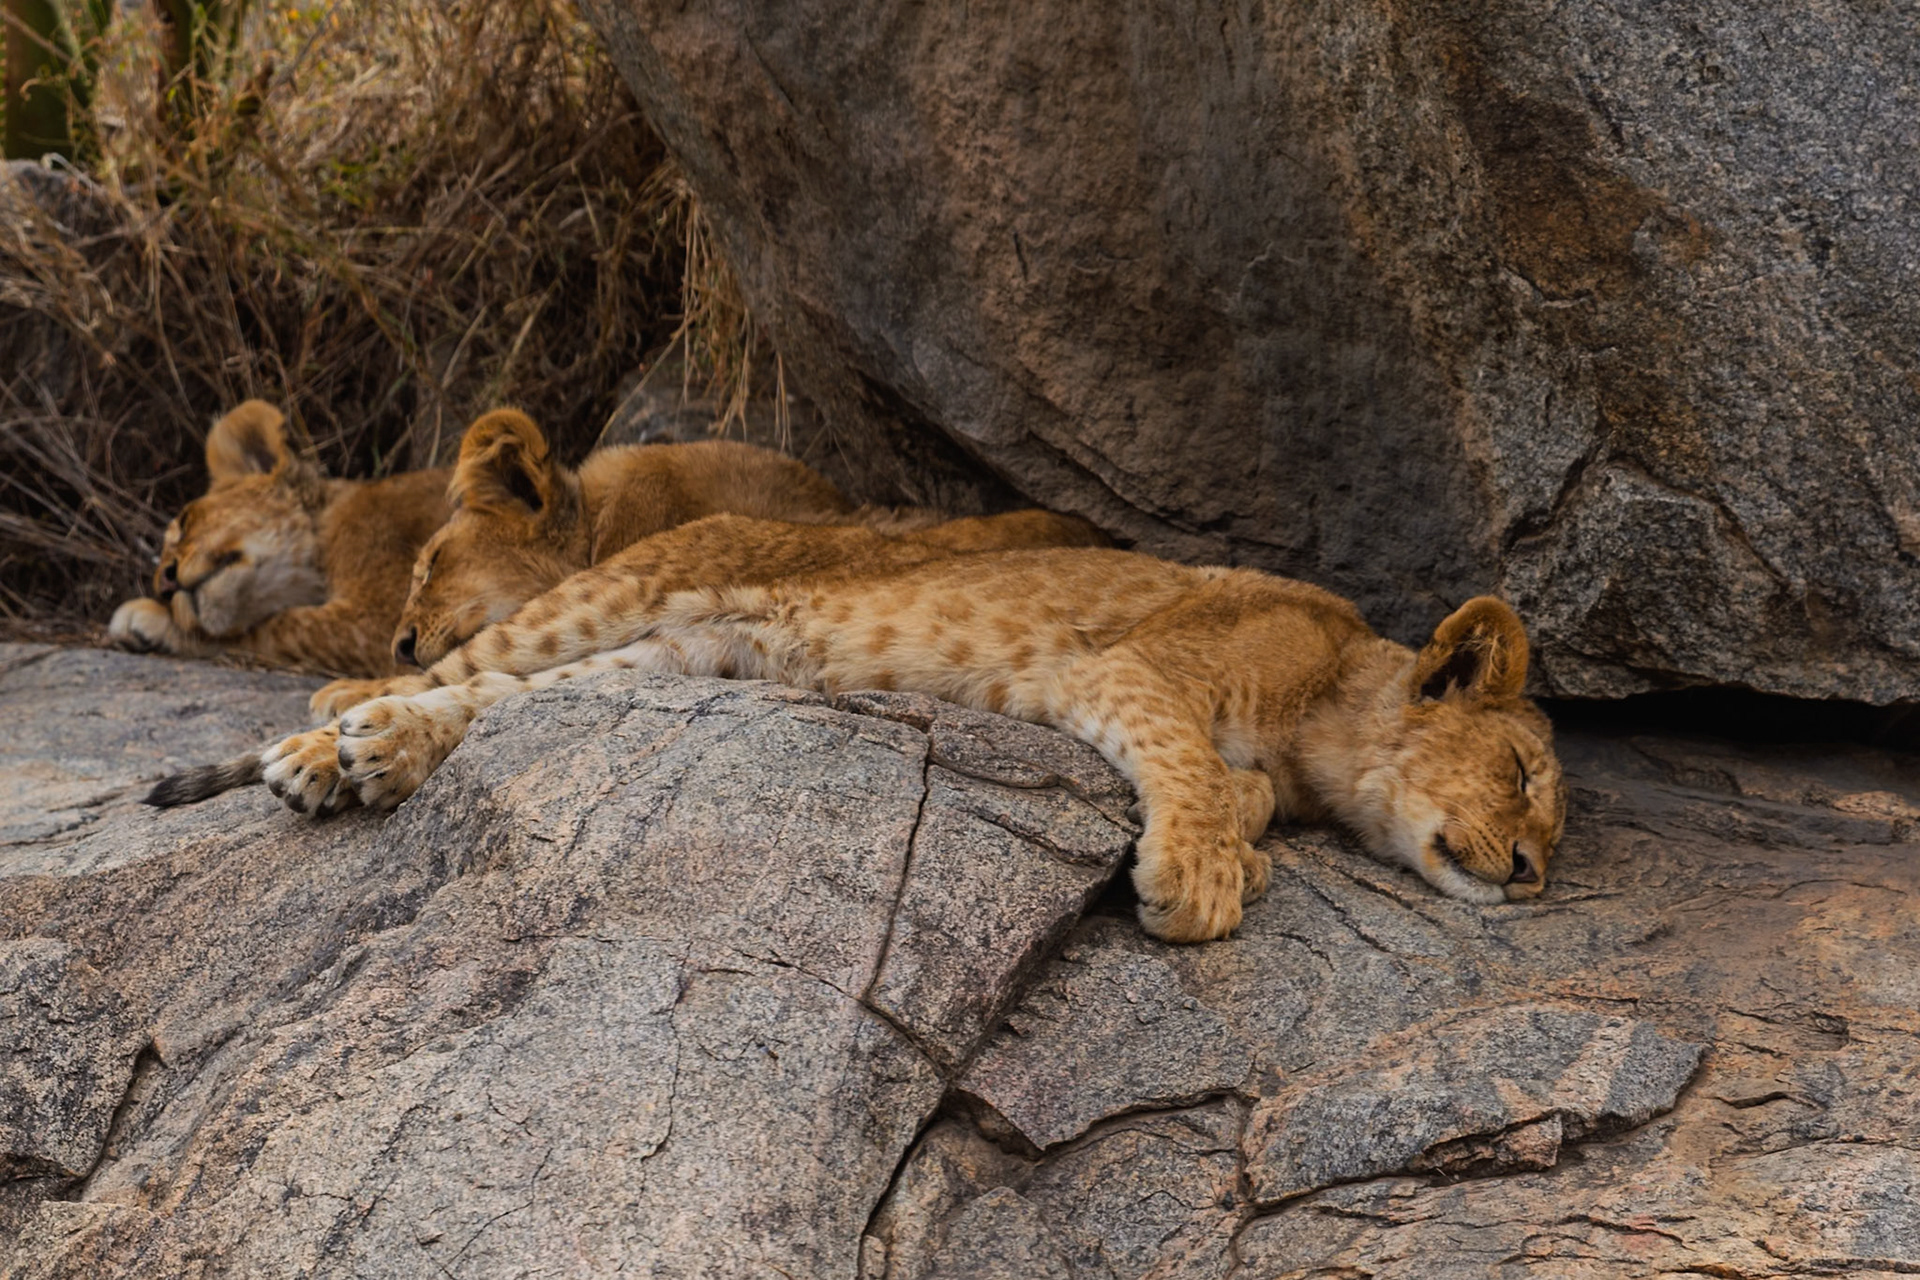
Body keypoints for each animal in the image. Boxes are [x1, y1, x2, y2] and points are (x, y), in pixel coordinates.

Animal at [150, 515, 1567, 943]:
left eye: (1549, 817)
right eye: (1521, 772)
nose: (1532, 875)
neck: (1334, 698)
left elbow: (1242, 789)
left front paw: (1249, 841)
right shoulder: (1130, 667)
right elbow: (1195, 770)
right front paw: (1206, 876)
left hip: (680, 653)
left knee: (495, 708)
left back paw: (370, 757)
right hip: (612, 595)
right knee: (464, 671)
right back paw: (324, 745)